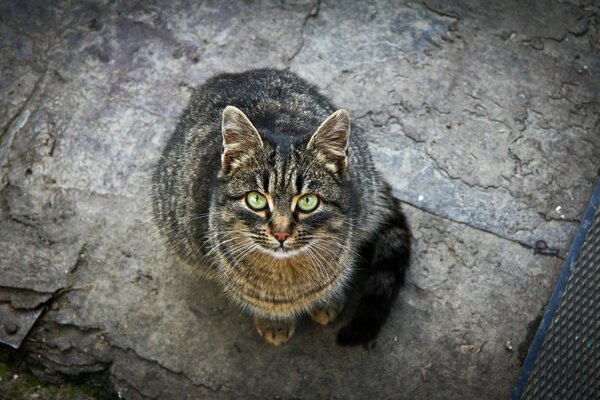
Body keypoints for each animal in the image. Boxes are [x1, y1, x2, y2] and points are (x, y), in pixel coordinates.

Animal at [152, 67, 410, 346]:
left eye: (308, 202)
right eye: (256, 199)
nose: (281, 233)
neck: (287, 275)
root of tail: (232, 74)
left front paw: (328, 301)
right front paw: (274, 323)